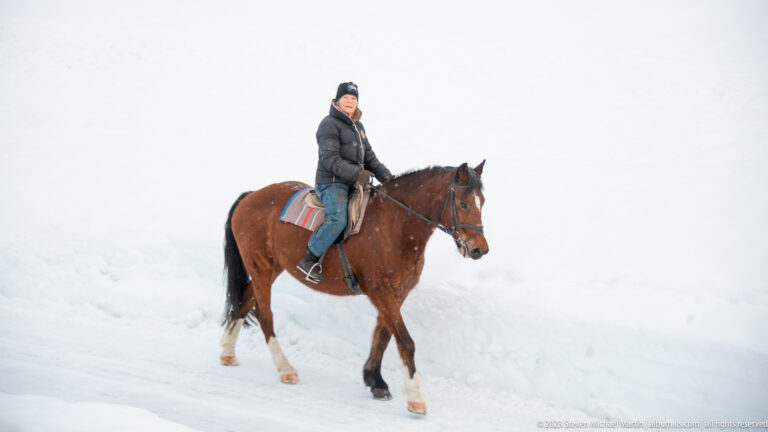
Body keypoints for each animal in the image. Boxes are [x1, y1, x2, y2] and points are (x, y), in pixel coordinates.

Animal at [219, 161, 489, 415]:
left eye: (482, 202)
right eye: (464, 204)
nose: (479, 249)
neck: (396, 226)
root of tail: (251, 196)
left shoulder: (397, 292)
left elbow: (382, 336)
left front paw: (375, 381)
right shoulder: (380, 291)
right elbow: (405, 342)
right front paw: (415, 399)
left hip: (271, 267)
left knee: (243, 301)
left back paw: (227, 353)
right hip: (260, 267)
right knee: (264, 315)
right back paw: (286, 369)